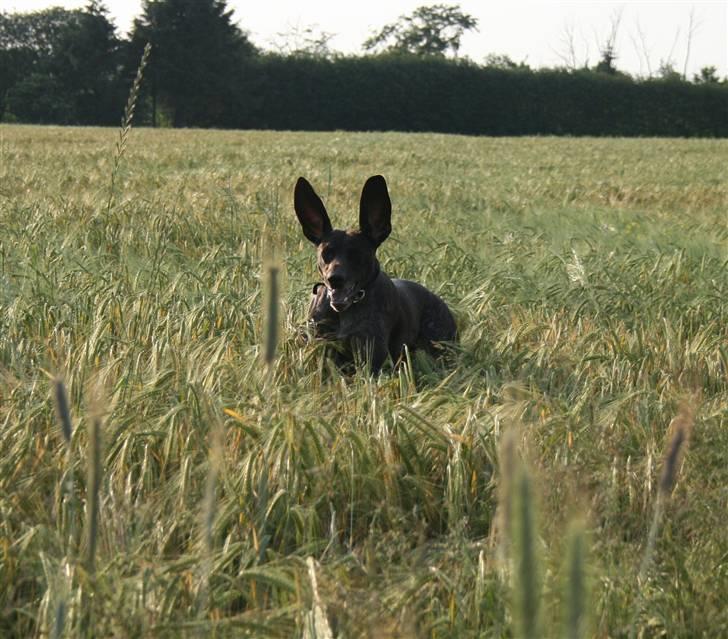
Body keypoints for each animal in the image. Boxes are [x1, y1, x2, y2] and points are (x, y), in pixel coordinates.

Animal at [294, 175, 456, 376]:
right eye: (326, 253)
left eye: (357, 254)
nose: (335, 279)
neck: (346, 311)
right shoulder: (322, 347)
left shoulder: (370, 354)